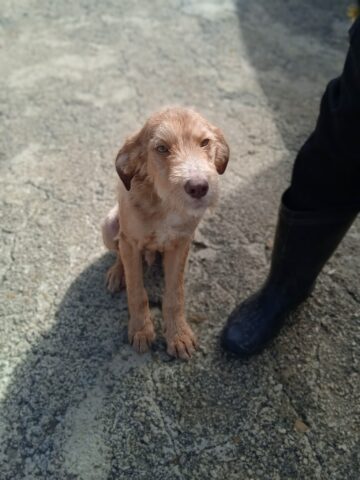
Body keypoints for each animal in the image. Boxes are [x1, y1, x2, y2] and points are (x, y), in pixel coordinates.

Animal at [101, 106, 229, 360]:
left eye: (205, 142)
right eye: (161, 148)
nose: (199, 187)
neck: (165, 205)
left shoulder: (181, 244)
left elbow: (174, 295)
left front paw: (178, 335)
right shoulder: (131, 243)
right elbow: (136, 291)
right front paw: (141, 329)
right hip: (109, 225)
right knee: (119, 252)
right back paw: (117, 272)